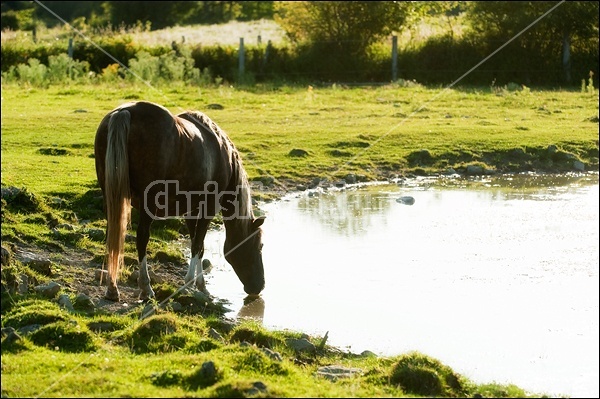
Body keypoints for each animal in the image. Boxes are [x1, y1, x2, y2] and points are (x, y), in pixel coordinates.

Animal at [94, 101, 264, 302]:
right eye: (260, 246)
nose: (259, 286)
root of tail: (124, 112)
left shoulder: (191, 210)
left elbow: (198, 245)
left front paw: (201, 286)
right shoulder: (209, 207)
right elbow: (198, 244)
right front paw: (190, 283)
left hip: (111, 197)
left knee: (112, 236)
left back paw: (112, 289)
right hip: (148, 203)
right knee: (142, 238)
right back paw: (146, 288)